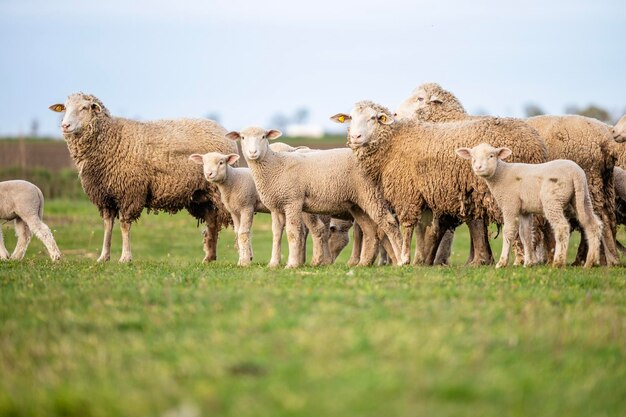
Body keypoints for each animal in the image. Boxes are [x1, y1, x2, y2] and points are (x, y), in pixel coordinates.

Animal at [48, 94, 236, 264]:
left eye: (84, 108)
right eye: (64, 108)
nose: (65, 125)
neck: (111, 139)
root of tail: (223, 131)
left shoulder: (129, 191)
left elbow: (124, 225)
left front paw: (125, 258)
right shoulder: (105, 196)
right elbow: (108, 225)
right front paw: (103, 257)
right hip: (202, 195)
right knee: (212, 221)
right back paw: (209, 257)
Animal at [227, 126, 402, 266]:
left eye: (263, 137)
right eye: (242, 137)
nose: (253, 153)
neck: (276, 165)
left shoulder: (293, 201)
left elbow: (293, 232)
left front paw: (293, 264)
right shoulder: (276, 206)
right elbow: (277, 234)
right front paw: (274, 264)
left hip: (371, 194)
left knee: (387, 223)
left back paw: (400, 259)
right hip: (357, 203)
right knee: (370, 230)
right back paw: (364, 263)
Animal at [330, 100, 544, 266]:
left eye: (374, 118)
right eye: (350, 117)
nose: (355, 137)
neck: (393, 142)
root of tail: (535, 143)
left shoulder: (406, 192)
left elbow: (408, 227)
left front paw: (405, 258)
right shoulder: (422, 193)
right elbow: (423, 229)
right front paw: (420, 260)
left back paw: (520, 260)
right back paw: (531, 259)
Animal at [456, 142, 604, 266]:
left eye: (491, 156)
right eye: (473, 157)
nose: (478, 167)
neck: (501, 174)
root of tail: (576, 172)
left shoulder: (510, 204)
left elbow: (509, 231)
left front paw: (502, 263)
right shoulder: (525, 211)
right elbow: (525, 234)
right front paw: (529, 263)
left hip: (553, 200)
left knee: (561, 227)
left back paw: (558, 262)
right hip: (582, 197)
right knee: (593, 224)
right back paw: (590, 262)